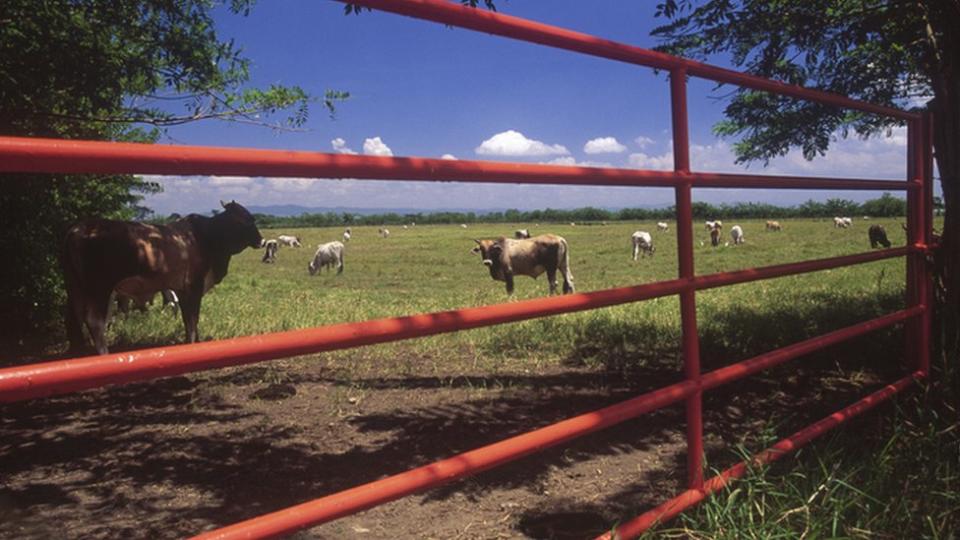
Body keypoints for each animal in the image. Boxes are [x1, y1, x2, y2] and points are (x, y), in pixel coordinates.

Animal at [62, 199, 262, 354]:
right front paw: (193, 342)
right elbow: (193, 319)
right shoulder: (194, 287)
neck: (207, 236)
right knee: (94, 321)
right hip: (99, 289)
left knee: (74, 320)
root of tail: (77, 229)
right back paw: (104, 353)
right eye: (247, 220)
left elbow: (187, 319)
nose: (260, 240)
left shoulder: (181, 290)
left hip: (75, 288)